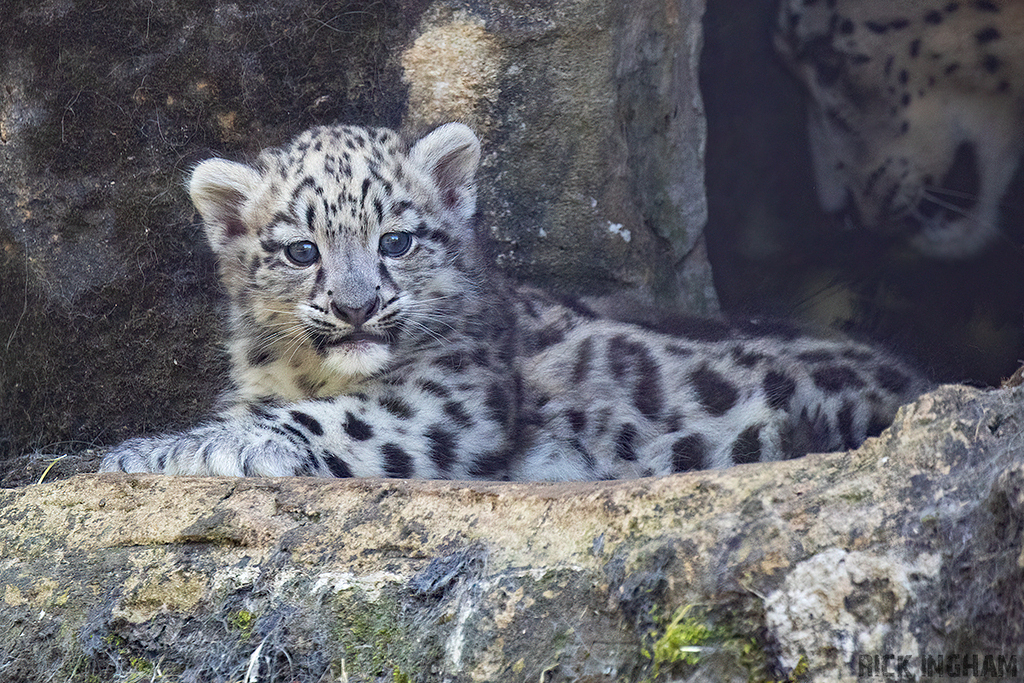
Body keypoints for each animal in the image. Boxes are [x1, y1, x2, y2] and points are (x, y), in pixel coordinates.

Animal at [99, 122, 931, 480]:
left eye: (396, 239)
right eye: (302, 250)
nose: (358, 307)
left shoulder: (453, 398)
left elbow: (331, 419)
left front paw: (169, 447)